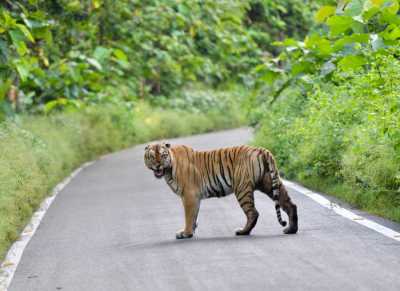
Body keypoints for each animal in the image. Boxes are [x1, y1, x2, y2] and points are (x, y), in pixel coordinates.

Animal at [144, 143, 296, 240]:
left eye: (163, 155)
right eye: (152, 156)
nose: (158, 165)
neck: (168, 169)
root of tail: (260, 149)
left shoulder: (189, 195)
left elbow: (189, 216)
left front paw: (186, 233)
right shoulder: (194, 198)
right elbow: (194, 216)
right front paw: (191, 231)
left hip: (242, 189)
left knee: (253, 212)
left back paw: (242, 232)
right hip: (269, 183)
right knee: (290, 204)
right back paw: (291, 229)